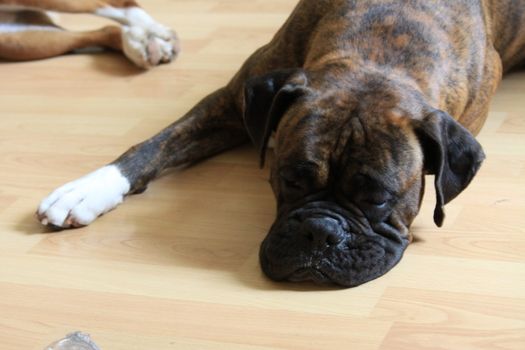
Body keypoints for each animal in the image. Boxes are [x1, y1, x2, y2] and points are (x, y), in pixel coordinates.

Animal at [35, 0, 524, 288]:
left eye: (379, 199)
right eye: (289, 179)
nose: (321, 232)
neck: (380, 50)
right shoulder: (234, 101)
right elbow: (155, 146)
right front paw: (88, 189)